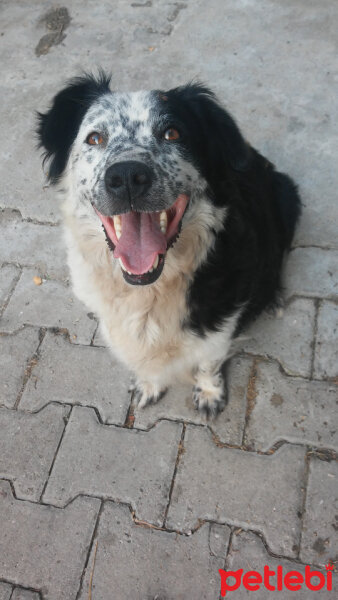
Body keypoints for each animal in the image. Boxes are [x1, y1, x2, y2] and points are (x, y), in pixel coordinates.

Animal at [37, 71, 302, 418]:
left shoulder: (220, 325)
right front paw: (149, 384)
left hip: (287, 194)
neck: (150, 290)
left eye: (172, 133)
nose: (126, 177)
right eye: (94, 138)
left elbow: (208, 361)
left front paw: (209, 393)